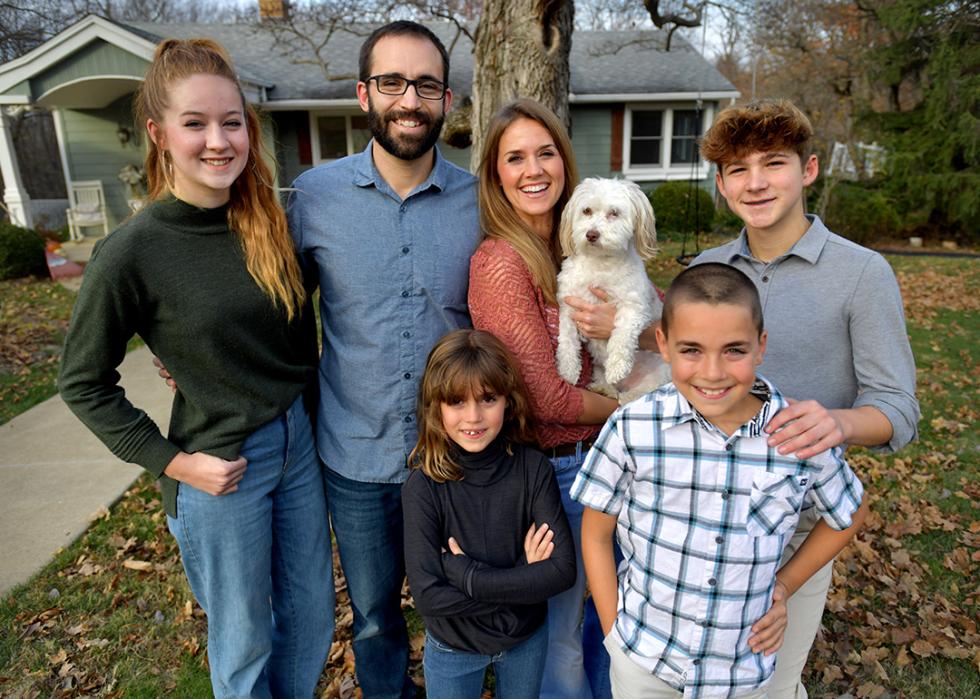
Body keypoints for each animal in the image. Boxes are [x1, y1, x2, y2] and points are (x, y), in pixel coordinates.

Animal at [556, 178, 668, 402]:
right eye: (587, 210)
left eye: (614, 213)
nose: (591, 234)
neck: (600, 263)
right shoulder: (569, 307)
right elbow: (566, 341)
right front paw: (568, 370)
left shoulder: (633, 306)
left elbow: (622, 336)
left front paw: (617, 367)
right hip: (599, 370)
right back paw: (603, 388)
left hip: (657, 373)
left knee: (632, 396)